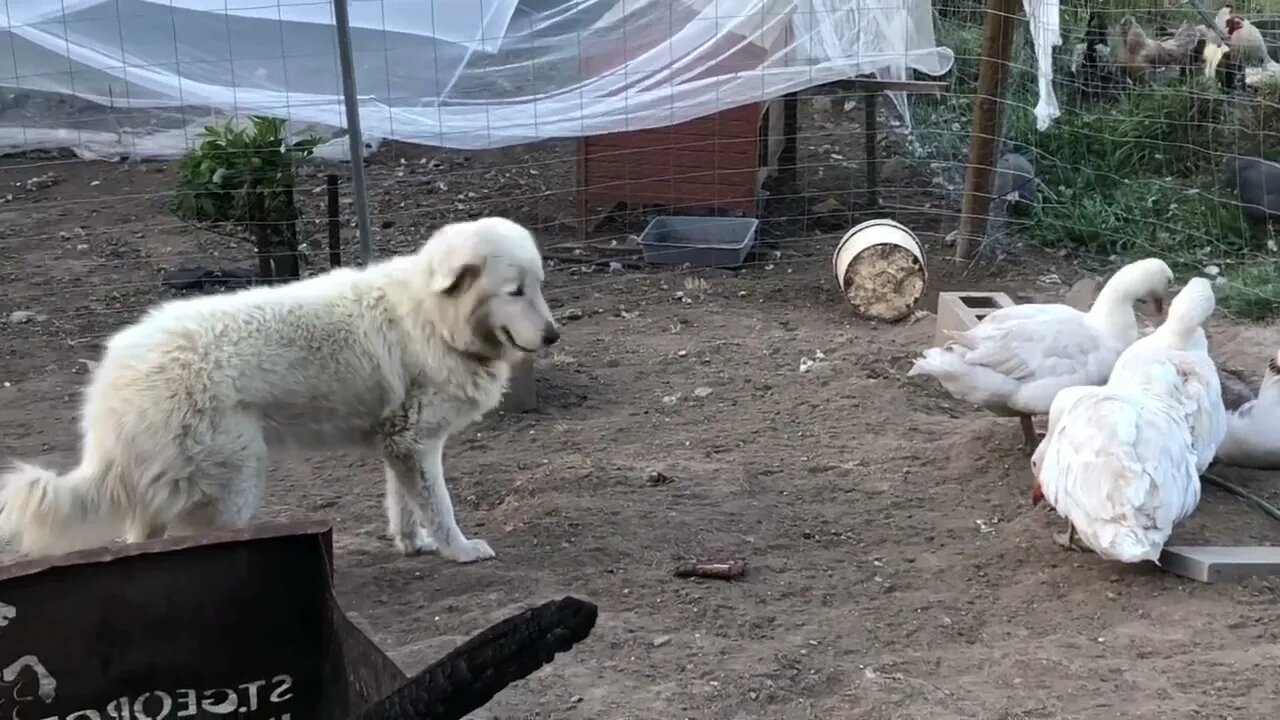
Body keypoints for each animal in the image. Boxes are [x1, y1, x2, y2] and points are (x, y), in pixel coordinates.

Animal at [1, 212, 560, 561]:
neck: (433, 319)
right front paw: (460, 550)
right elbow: (440, 507)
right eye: (515, 291)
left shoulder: (399, 444)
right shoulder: (417, 444)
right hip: (236, 481)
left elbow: (403, 506)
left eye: (540, 286)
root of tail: (116, 372)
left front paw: (413, 544)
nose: (554, 335)